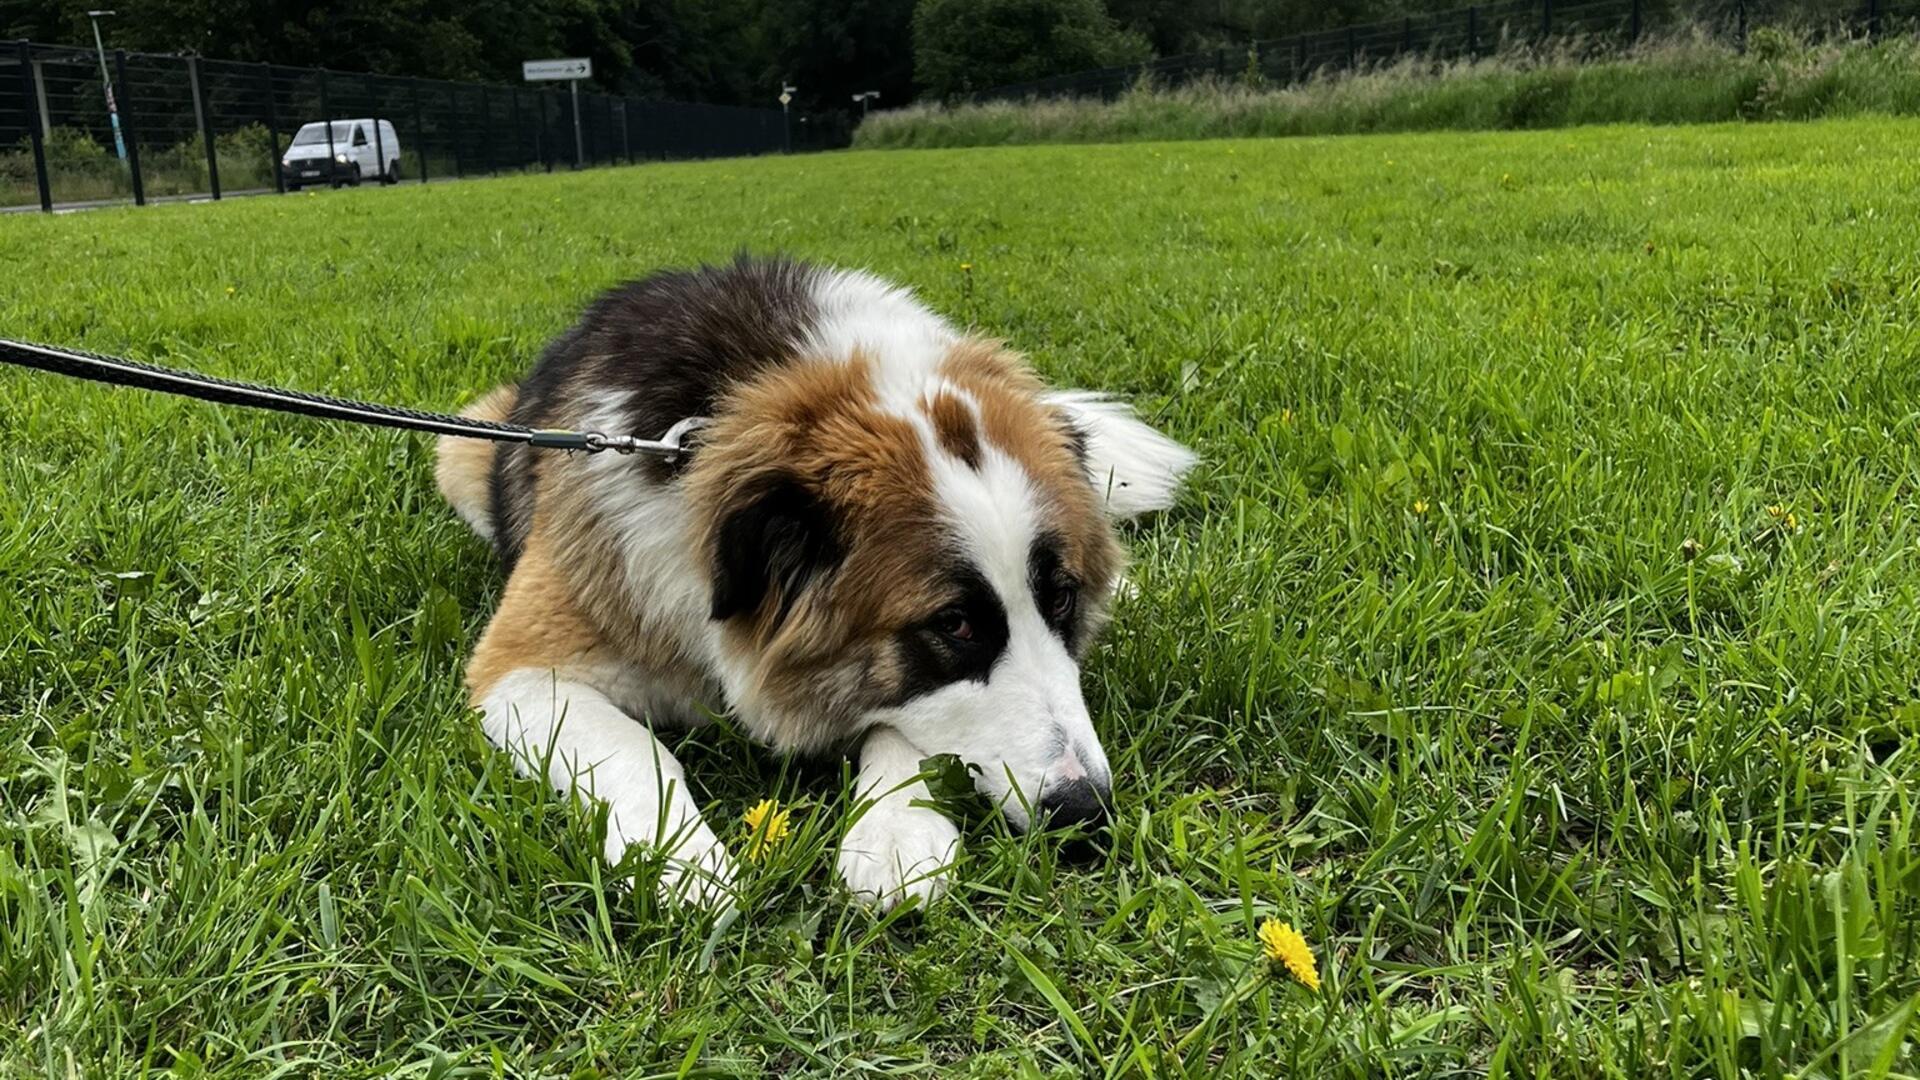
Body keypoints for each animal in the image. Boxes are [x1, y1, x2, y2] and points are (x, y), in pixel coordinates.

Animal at [435, 255, 1190, 903]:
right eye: (954, 624)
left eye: (1061, 596)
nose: (1084, 807)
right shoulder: (518, 669)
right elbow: (634, 745)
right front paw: (682, 860)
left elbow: (895, 722)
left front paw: (896, 831)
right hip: (460, 446)